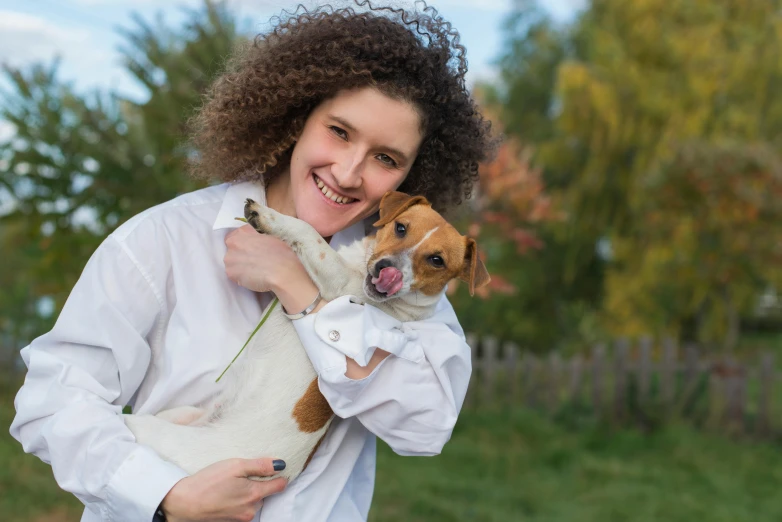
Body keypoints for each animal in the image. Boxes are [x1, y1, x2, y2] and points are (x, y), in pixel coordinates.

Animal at [124, 190, 490, 480]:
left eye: (436, 260)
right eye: (401, 228)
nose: (387, 270)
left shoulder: (337, 285)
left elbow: (309, 233)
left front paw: (269, 217)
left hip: (161, 433)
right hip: (182, 413)